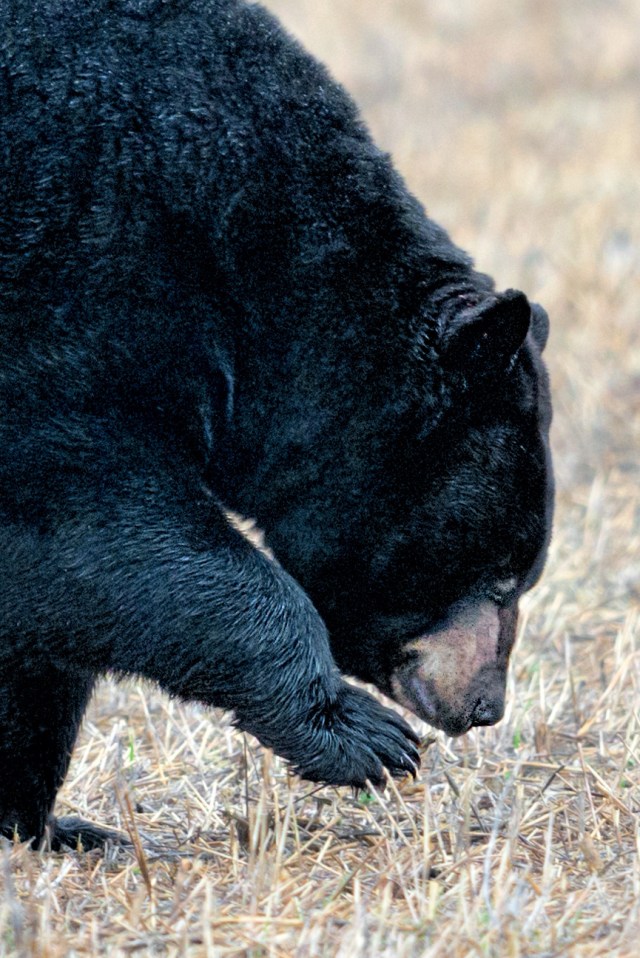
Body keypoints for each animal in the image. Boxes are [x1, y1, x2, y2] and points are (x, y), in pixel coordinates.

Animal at [0, 0, 553, 851]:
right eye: (499, 570)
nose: (486, 705)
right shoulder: (68, 293)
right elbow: (87, 523)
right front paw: (362, 734)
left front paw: (51, 825)